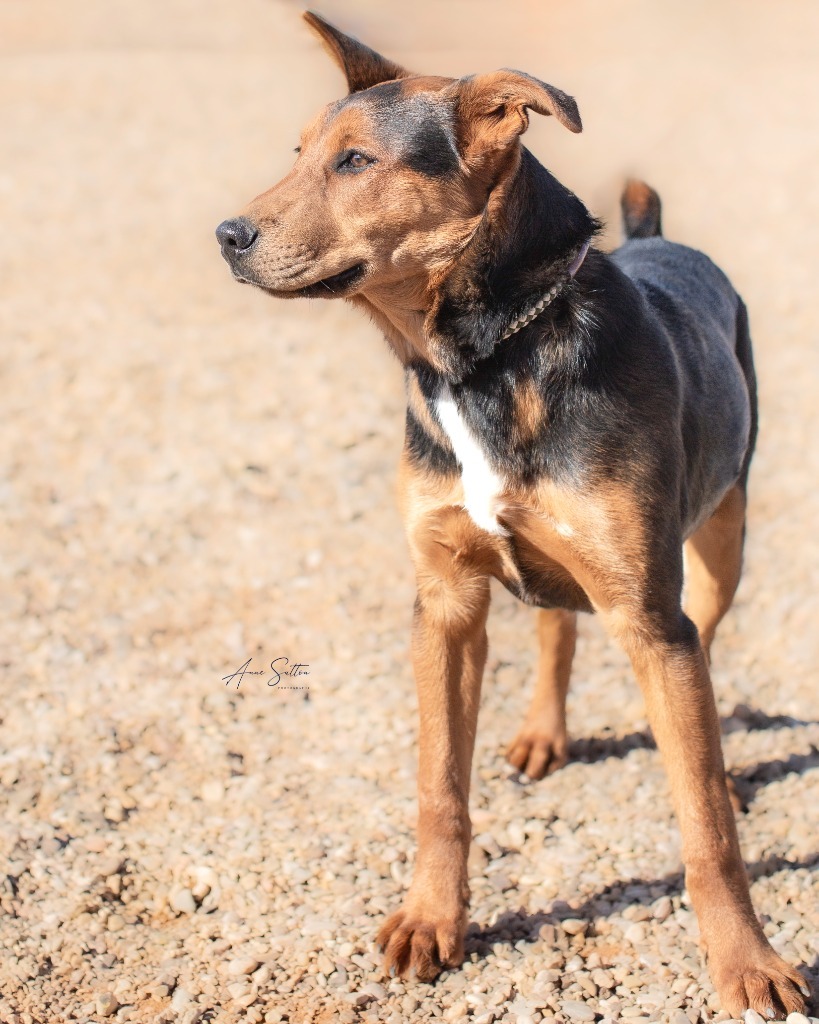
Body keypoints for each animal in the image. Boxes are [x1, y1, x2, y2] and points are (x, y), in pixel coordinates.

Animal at [213, 12, 810, 1019]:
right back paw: (541, 733)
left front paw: (745, 962)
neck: (487, 361)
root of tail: (662, 238)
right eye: (297, 155)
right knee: (555, 628)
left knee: (705, 642)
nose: (226, 234)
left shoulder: (653, 622)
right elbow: (438, 789)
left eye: (355, 162)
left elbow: (704, 828)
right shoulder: (445, 602)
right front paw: (431, 920)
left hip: (718, 542)